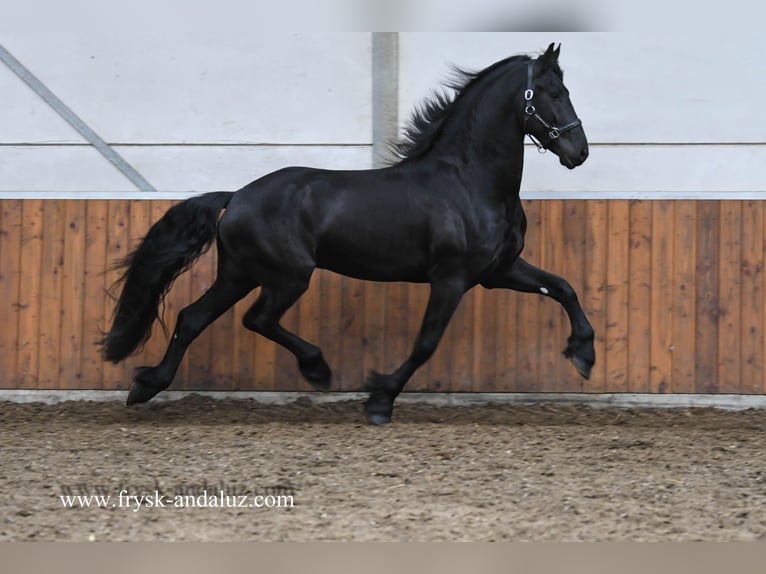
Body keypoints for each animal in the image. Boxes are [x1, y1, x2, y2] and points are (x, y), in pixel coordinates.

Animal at [100, 44, 592, 424]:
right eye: (553, 92)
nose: (579, 152)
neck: (471, 182)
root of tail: (236, 196)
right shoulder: (451, 279)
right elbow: (426, 343)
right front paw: (379, 400)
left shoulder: (499, 271)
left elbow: (563, 288)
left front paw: (584, 354)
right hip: (287, 276)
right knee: (257, 319)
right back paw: (318, 370)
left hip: (239, 274)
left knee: (192, 318)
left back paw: (145, 386)